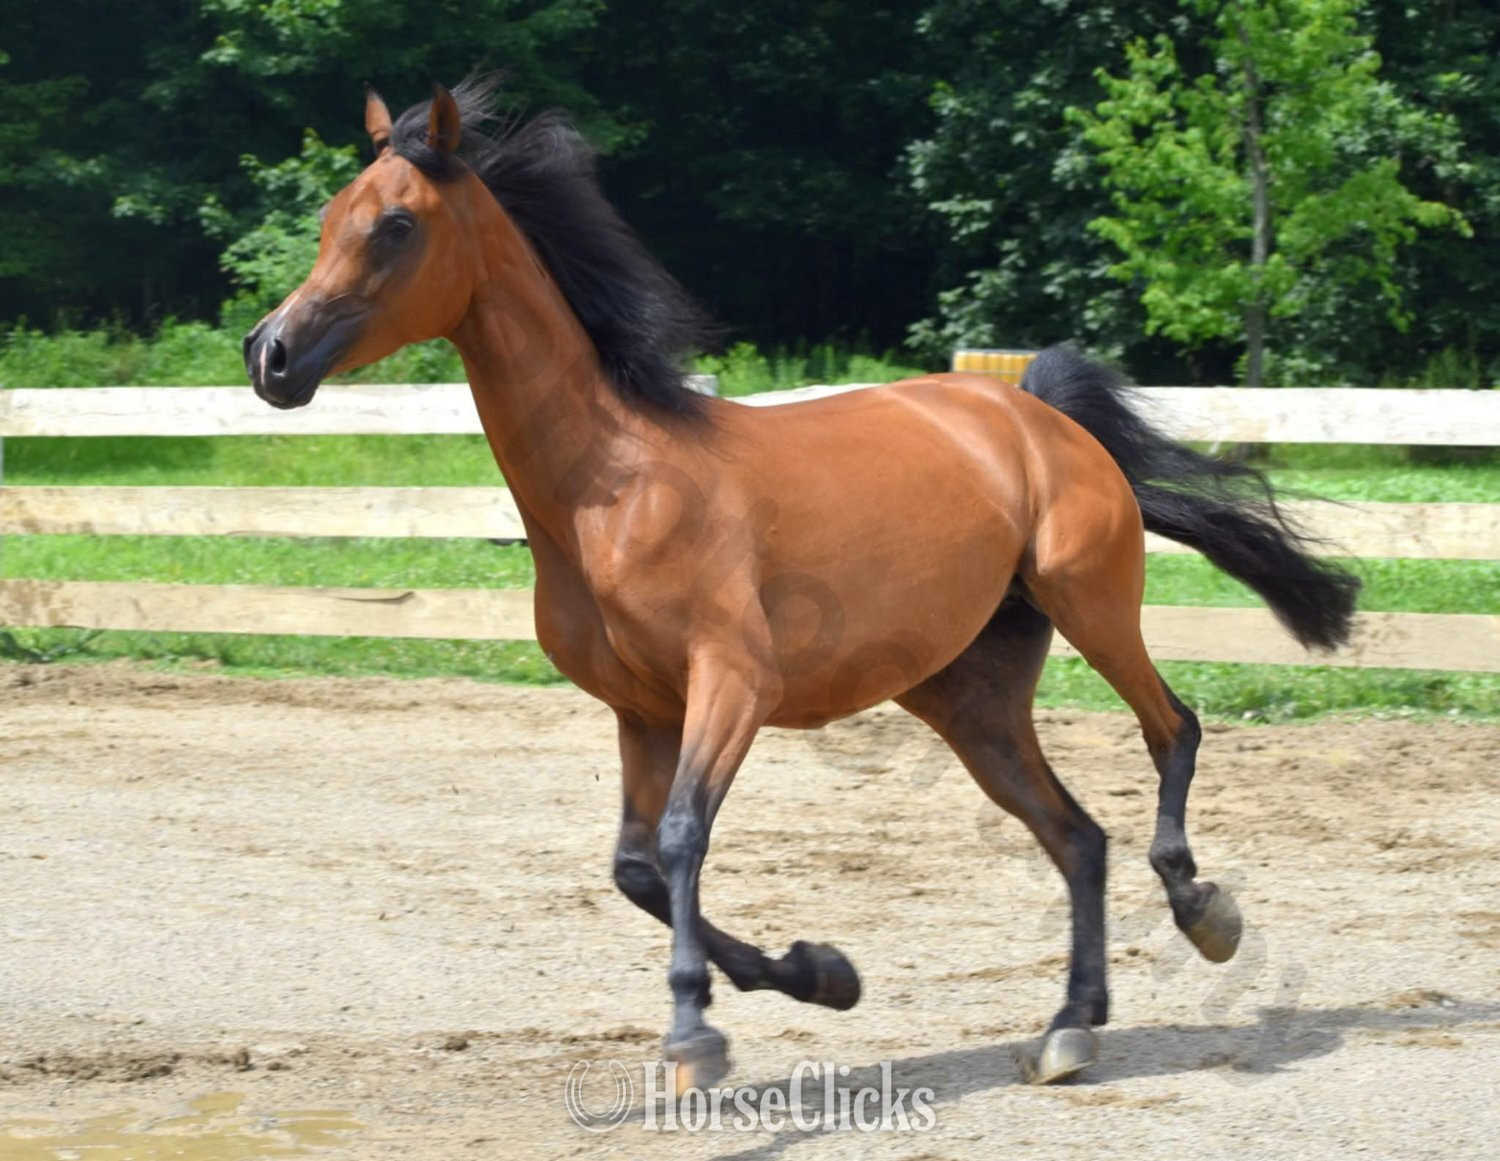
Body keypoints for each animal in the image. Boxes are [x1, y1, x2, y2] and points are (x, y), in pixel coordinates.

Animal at [244, 79, 1360, 1089]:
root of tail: (1037, 414)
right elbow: (635, 866)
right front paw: (821, 974)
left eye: (394, 225)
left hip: (1090, 603)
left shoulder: (733, 683)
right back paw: (1069, 1027)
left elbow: (682, 840)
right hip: (968, 697)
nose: (272, 355)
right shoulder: (641, 709)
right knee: (1078, 836)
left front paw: (696, 1037)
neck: (612, 486)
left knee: (1173, 731)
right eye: (328, 217)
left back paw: (1203, 911)